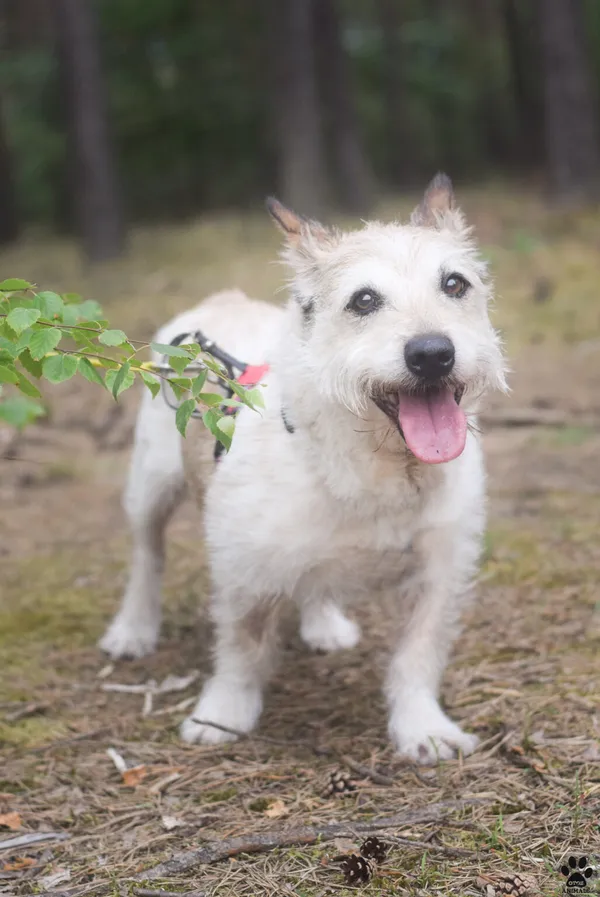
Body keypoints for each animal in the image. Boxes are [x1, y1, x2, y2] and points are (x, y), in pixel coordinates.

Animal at [99, 177, 506, 764]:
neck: (379, 465)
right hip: (149, 486)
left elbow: (418, 655)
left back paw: (324, 624)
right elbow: (241, 649)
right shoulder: (243, 568)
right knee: (146, 556)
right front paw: (222, 715)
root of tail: (223, 299)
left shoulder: (438, 571)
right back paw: (133, 629)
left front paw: (422, 727)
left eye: (454, 284)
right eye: (364, 299)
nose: (433, 354)